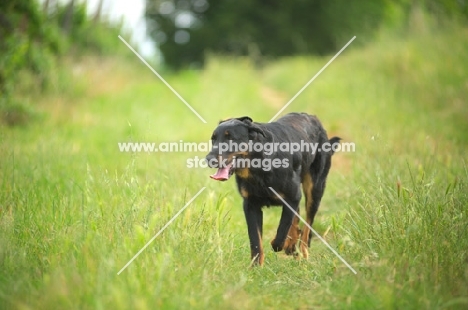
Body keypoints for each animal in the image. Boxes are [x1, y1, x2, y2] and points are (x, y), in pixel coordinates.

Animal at [207, 112, 338, 266]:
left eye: (230, 138)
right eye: (213, 140)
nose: (208, 159)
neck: (259, 166)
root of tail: (313, 118)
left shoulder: (291, 197)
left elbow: (281, 231)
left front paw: (284, 244)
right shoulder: (250, 204)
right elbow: (255, 239)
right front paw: (256, 267)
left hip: (315, 189)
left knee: (307, 226)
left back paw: (302, 254)